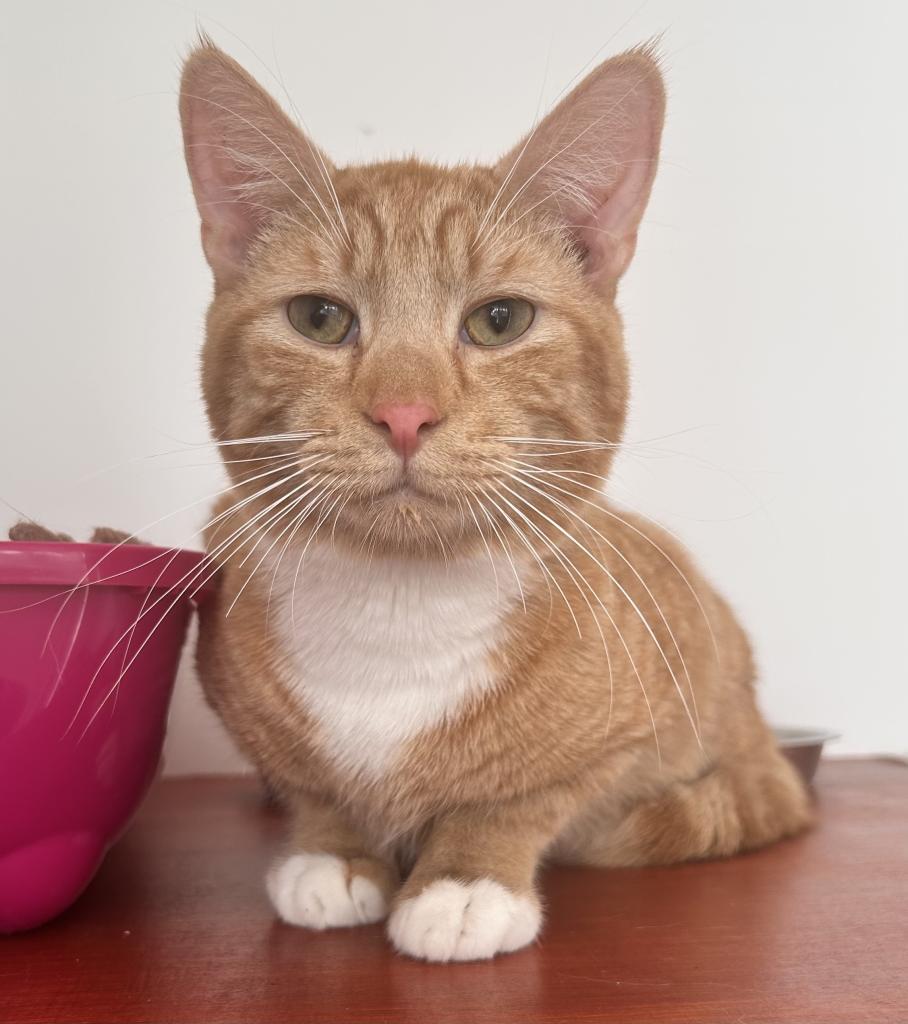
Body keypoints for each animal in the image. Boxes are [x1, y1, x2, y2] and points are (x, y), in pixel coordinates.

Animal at [180, 36, 811, 962]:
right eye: (320, 319)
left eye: (499, 320)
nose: (405, 413)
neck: (396, 605)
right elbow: (316, 790)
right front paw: (334, 854)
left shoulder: (621, 740)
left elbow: (521, 797)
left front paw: (464, 881)